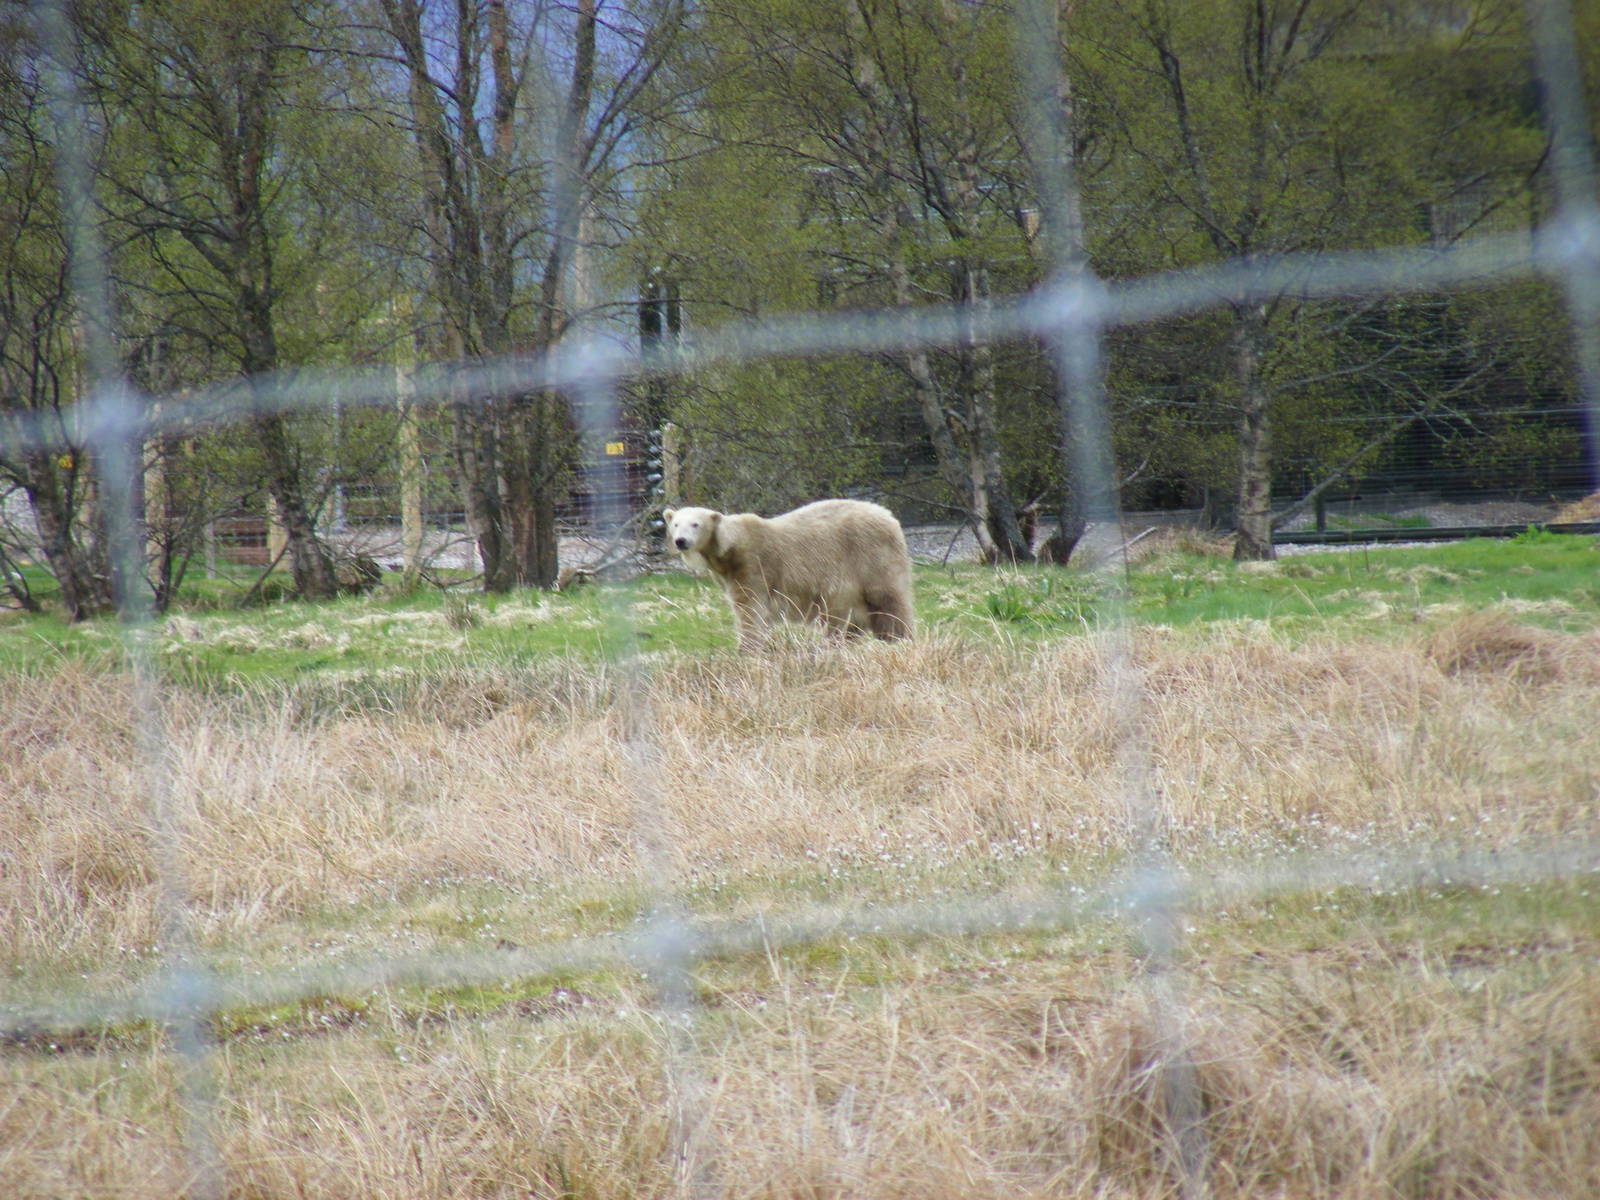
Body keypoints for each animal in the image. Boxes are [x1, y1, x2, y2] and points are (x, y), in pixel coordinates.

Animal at [663, 499, 915, 649]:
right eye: (675, 524)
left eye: (695, 524)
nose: (681, 541)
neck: (729, 548)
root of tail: (889, 517)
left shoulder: (752, 566)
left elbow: (750, 609)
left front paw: (746, 649)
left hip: (871, 557)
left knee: (888, 602)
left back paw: (899, 639)